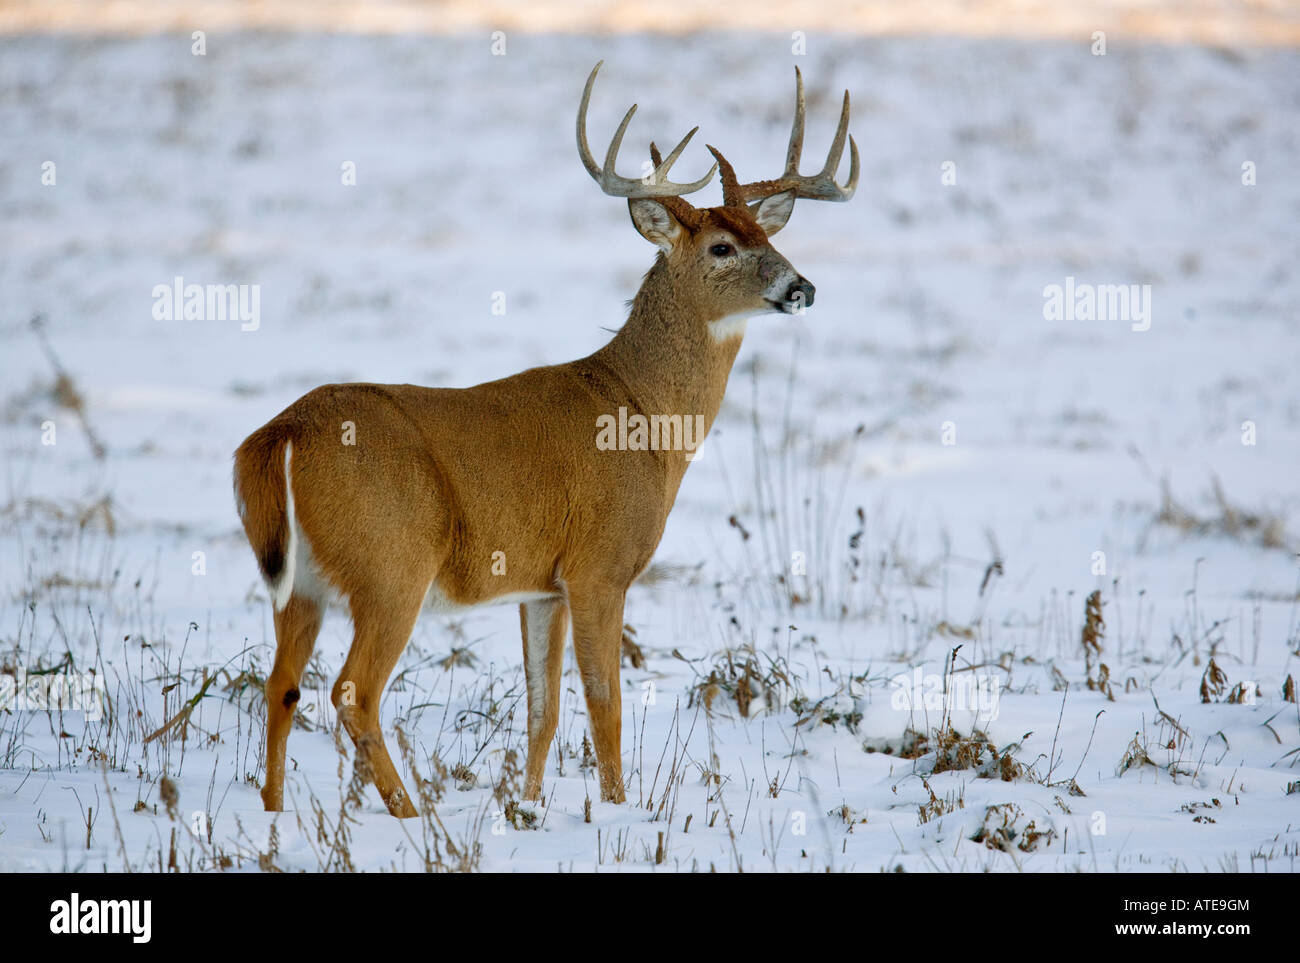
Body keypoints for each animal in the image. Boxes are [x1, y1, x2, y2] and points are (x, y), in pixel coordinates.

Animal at [236, 60, 852, 816]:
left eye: (768, 237)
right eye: (722, 247)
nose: (803, 288)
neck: (644, 417)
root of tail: (279, 436)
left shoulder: (540, 585)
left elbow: (543, 707)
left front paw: (528, 808)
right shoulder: (600, 565)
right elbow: (604, 703)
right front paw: (617, 810)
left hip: (301, 582)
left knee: (280, 684)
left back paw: (274, 812)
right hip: (392, 562)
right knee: (353, 692)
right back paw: (412, 816)